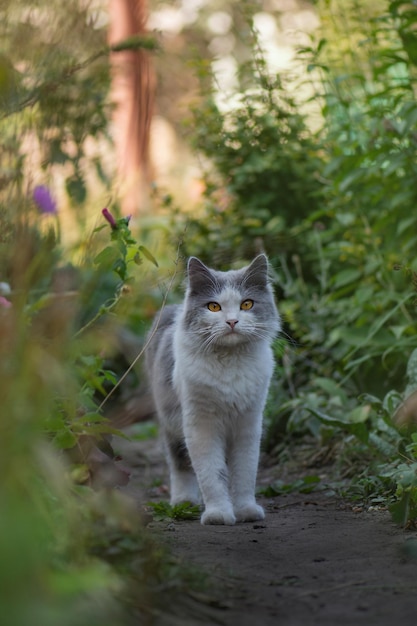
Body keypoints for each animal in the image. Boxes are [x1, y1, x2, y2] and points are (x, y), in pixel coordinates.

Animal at [145, 254, 280, 520]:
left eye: (247, 304)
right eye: (214, 307)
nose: (232, 321)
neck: (230, 364)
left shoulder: (248, 423)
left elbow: (244, 473)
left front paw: (246, 510)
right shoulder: (201, 425)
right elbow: (211, 474)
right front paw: (219, 514)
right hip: (171, 423)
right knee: (180, 464)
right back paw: (184, 502)